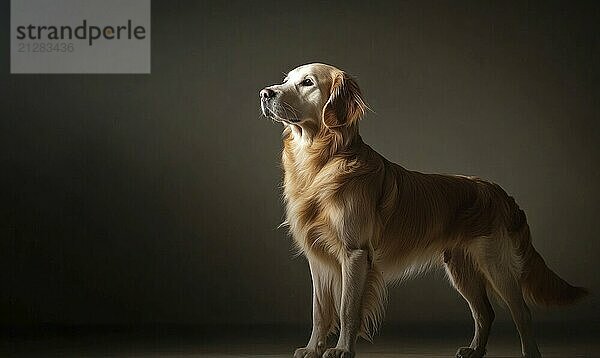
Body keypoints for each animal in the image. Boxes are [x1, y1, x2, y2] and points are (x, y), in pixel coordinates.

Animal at [258, 63, 584, 358]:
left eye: (307, 82)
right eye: (286, 80)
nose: (265, 93)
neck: (321, 161)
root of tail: (500, 193)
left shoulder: (355, 253)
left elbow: (347, 308)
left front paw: (341, 350)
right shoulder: (318, 259)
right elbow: (319, 311)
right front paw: (313, 348)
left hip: (496, 264)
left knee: (522, 313)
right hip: (461, 268)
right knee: (485, 312)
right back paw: (474, 350)